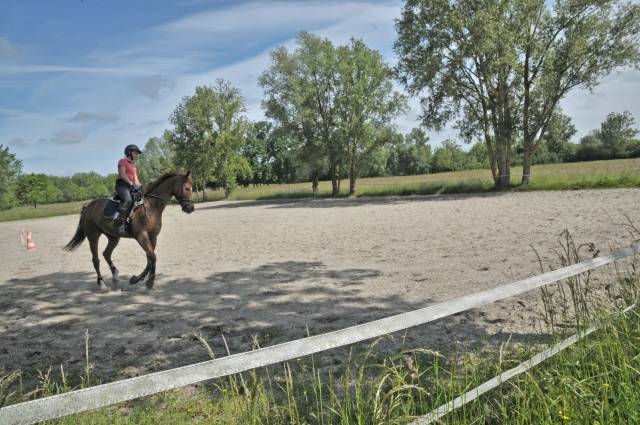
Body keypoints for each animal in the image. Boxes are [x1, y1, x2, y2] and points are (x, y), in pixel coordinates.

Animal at [65, 171, 196, 290]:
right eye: (187, 188)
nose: (190, 208)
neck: (151, 206)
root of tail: (88, 206)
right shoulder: (141, 236)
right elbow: (152, 257)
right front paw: (143, 280)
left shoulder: (153, 237)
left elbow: (150, 258)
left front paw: (143, 280)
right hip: (93, 236)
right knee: (96, 260)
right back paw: (102, 283)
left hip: (113, 237)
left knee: (106, 254)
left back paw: (115, 276)